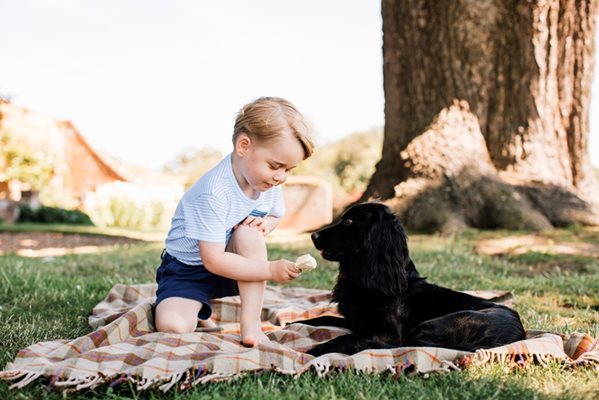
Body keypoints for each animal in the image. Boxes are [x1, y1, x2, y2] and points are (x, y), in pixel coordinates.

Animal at [300, 203, 524, 356]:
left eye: (349, 221)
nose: (313, 235)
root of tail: (519, 334)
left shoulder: (389, 334)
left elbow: (347, 338)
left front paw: (315, 350)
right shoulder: (357, 321)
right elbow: (322, 318)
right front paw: (296, 323)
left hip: (431, 325)